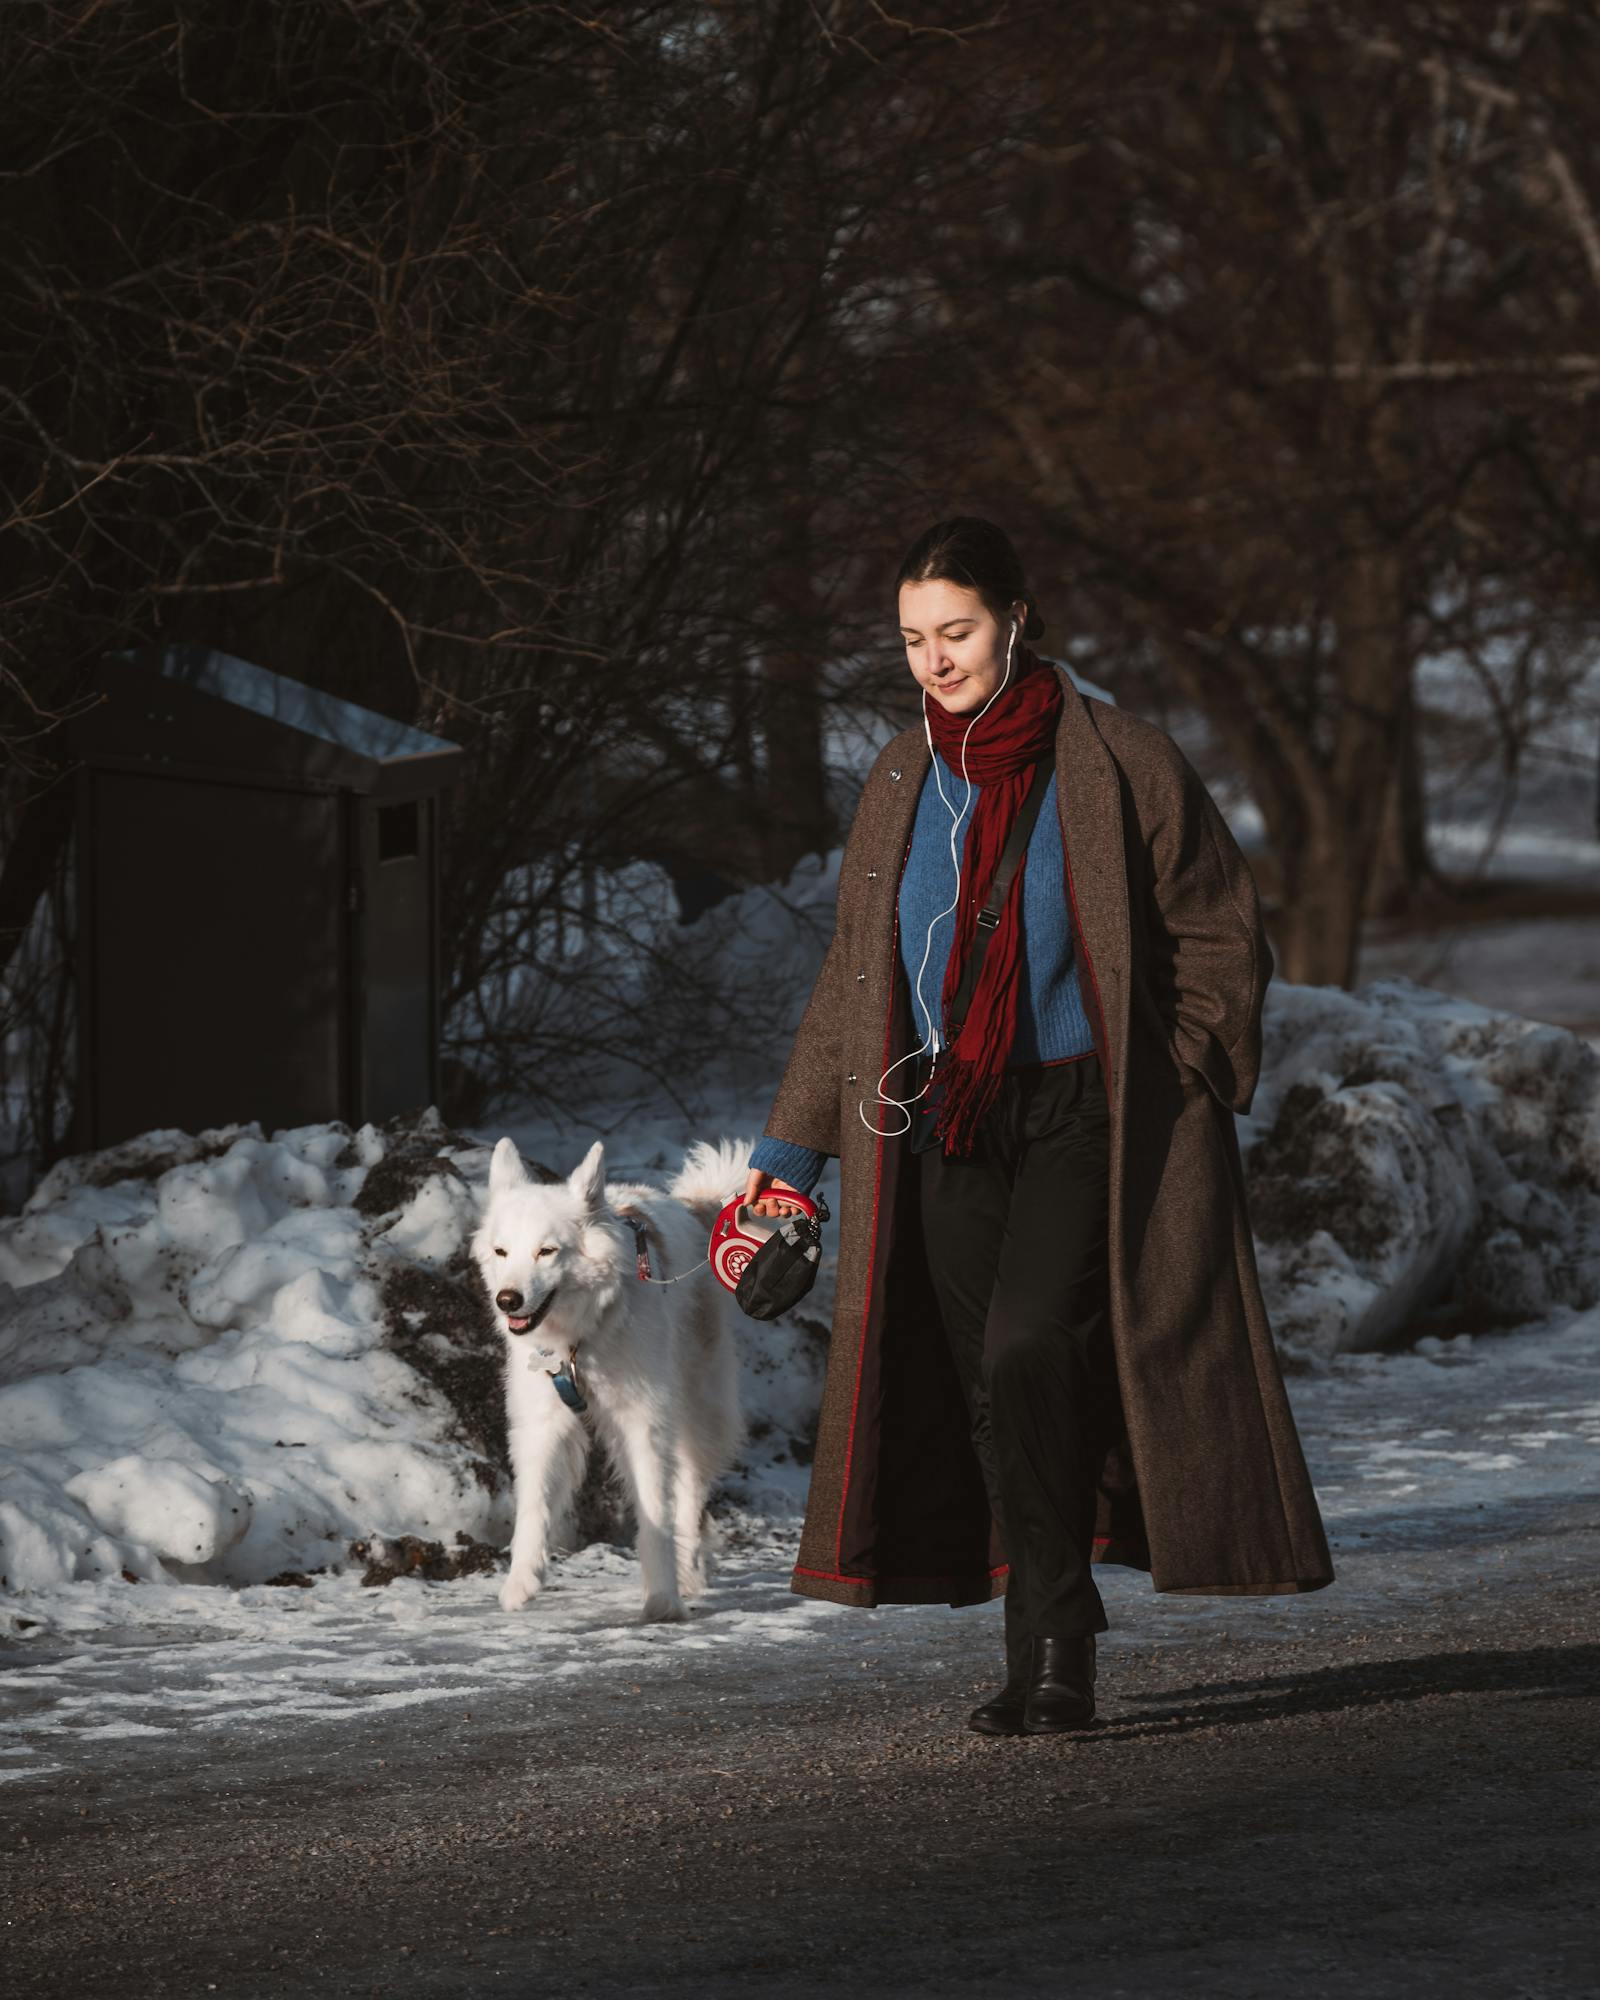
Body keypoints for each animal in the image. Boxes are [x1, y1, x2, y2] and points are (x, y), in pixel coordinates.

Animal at [476, 1136, 752, 1616]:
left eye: (546, 1251)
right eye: (501, 1252)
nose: (507, 1300)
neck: (582, 1340)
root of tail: (689, 1206)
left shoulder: (643, 1423)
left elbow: (656, 1511)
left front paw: (662, 1598)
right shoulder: (541, 1424)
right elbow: (534, 1505)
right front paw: (522, 1581)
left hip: (697, 1411)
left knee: (690, 1490)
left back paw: (688, 1573)